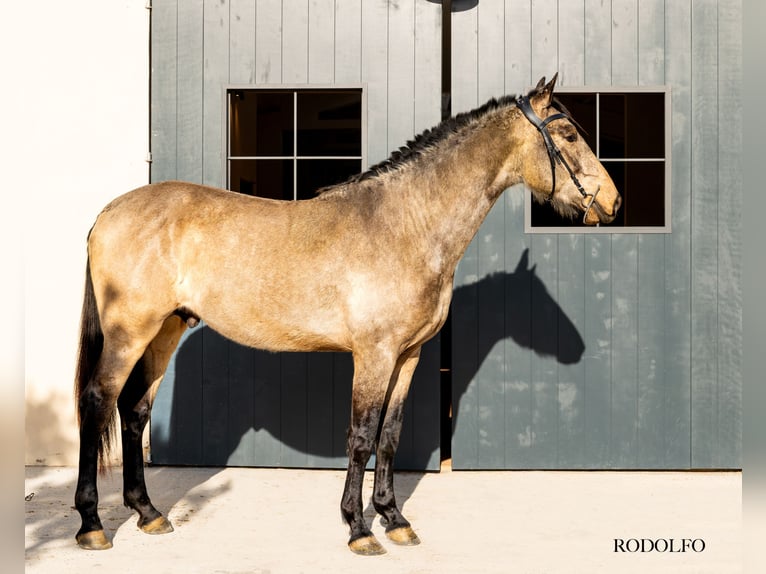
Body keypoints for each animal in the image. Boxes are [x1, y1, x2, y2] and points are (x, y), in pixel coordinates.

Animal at [73, 75, 620, 555]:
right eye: (569, 134)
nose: (613, 202)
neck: (405, 224)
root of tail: (107, 213)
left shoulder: (407, 356)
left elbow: (390, 436)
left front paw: (394, 520)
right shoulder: (373, 355)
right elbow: (361, 436)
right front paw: (358, 528)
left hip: (164, 331)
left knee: (135, 410)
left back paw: (148, 514)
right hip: (129, 333)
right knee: (98, 402)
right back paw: (92, 525)